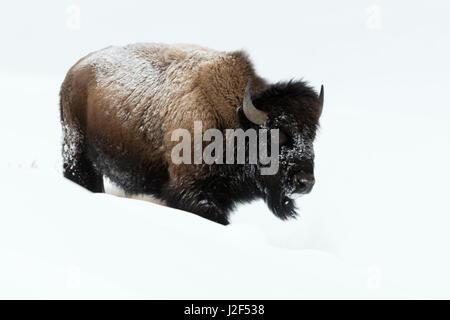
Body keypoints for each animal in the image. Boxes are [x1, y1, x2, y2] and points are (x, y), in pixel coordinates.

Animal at [61, 43, 326, 225]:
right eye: (276, 134)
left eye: (312, 136)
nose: (305, 182)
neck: (236, 120)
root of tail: (74, 71)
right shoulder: (190, 192)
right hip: (77, 155)